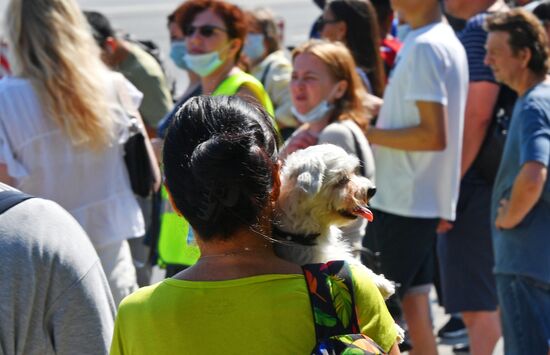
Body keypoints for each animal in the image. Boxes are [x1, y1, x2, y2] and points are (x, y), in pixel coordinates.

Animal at [274, 145, 396, 300]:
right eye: (342, 179)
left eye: (354, 172)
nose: (372, 190)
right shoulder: (309, 255)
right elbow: (346, 262)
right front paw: (382, 284)